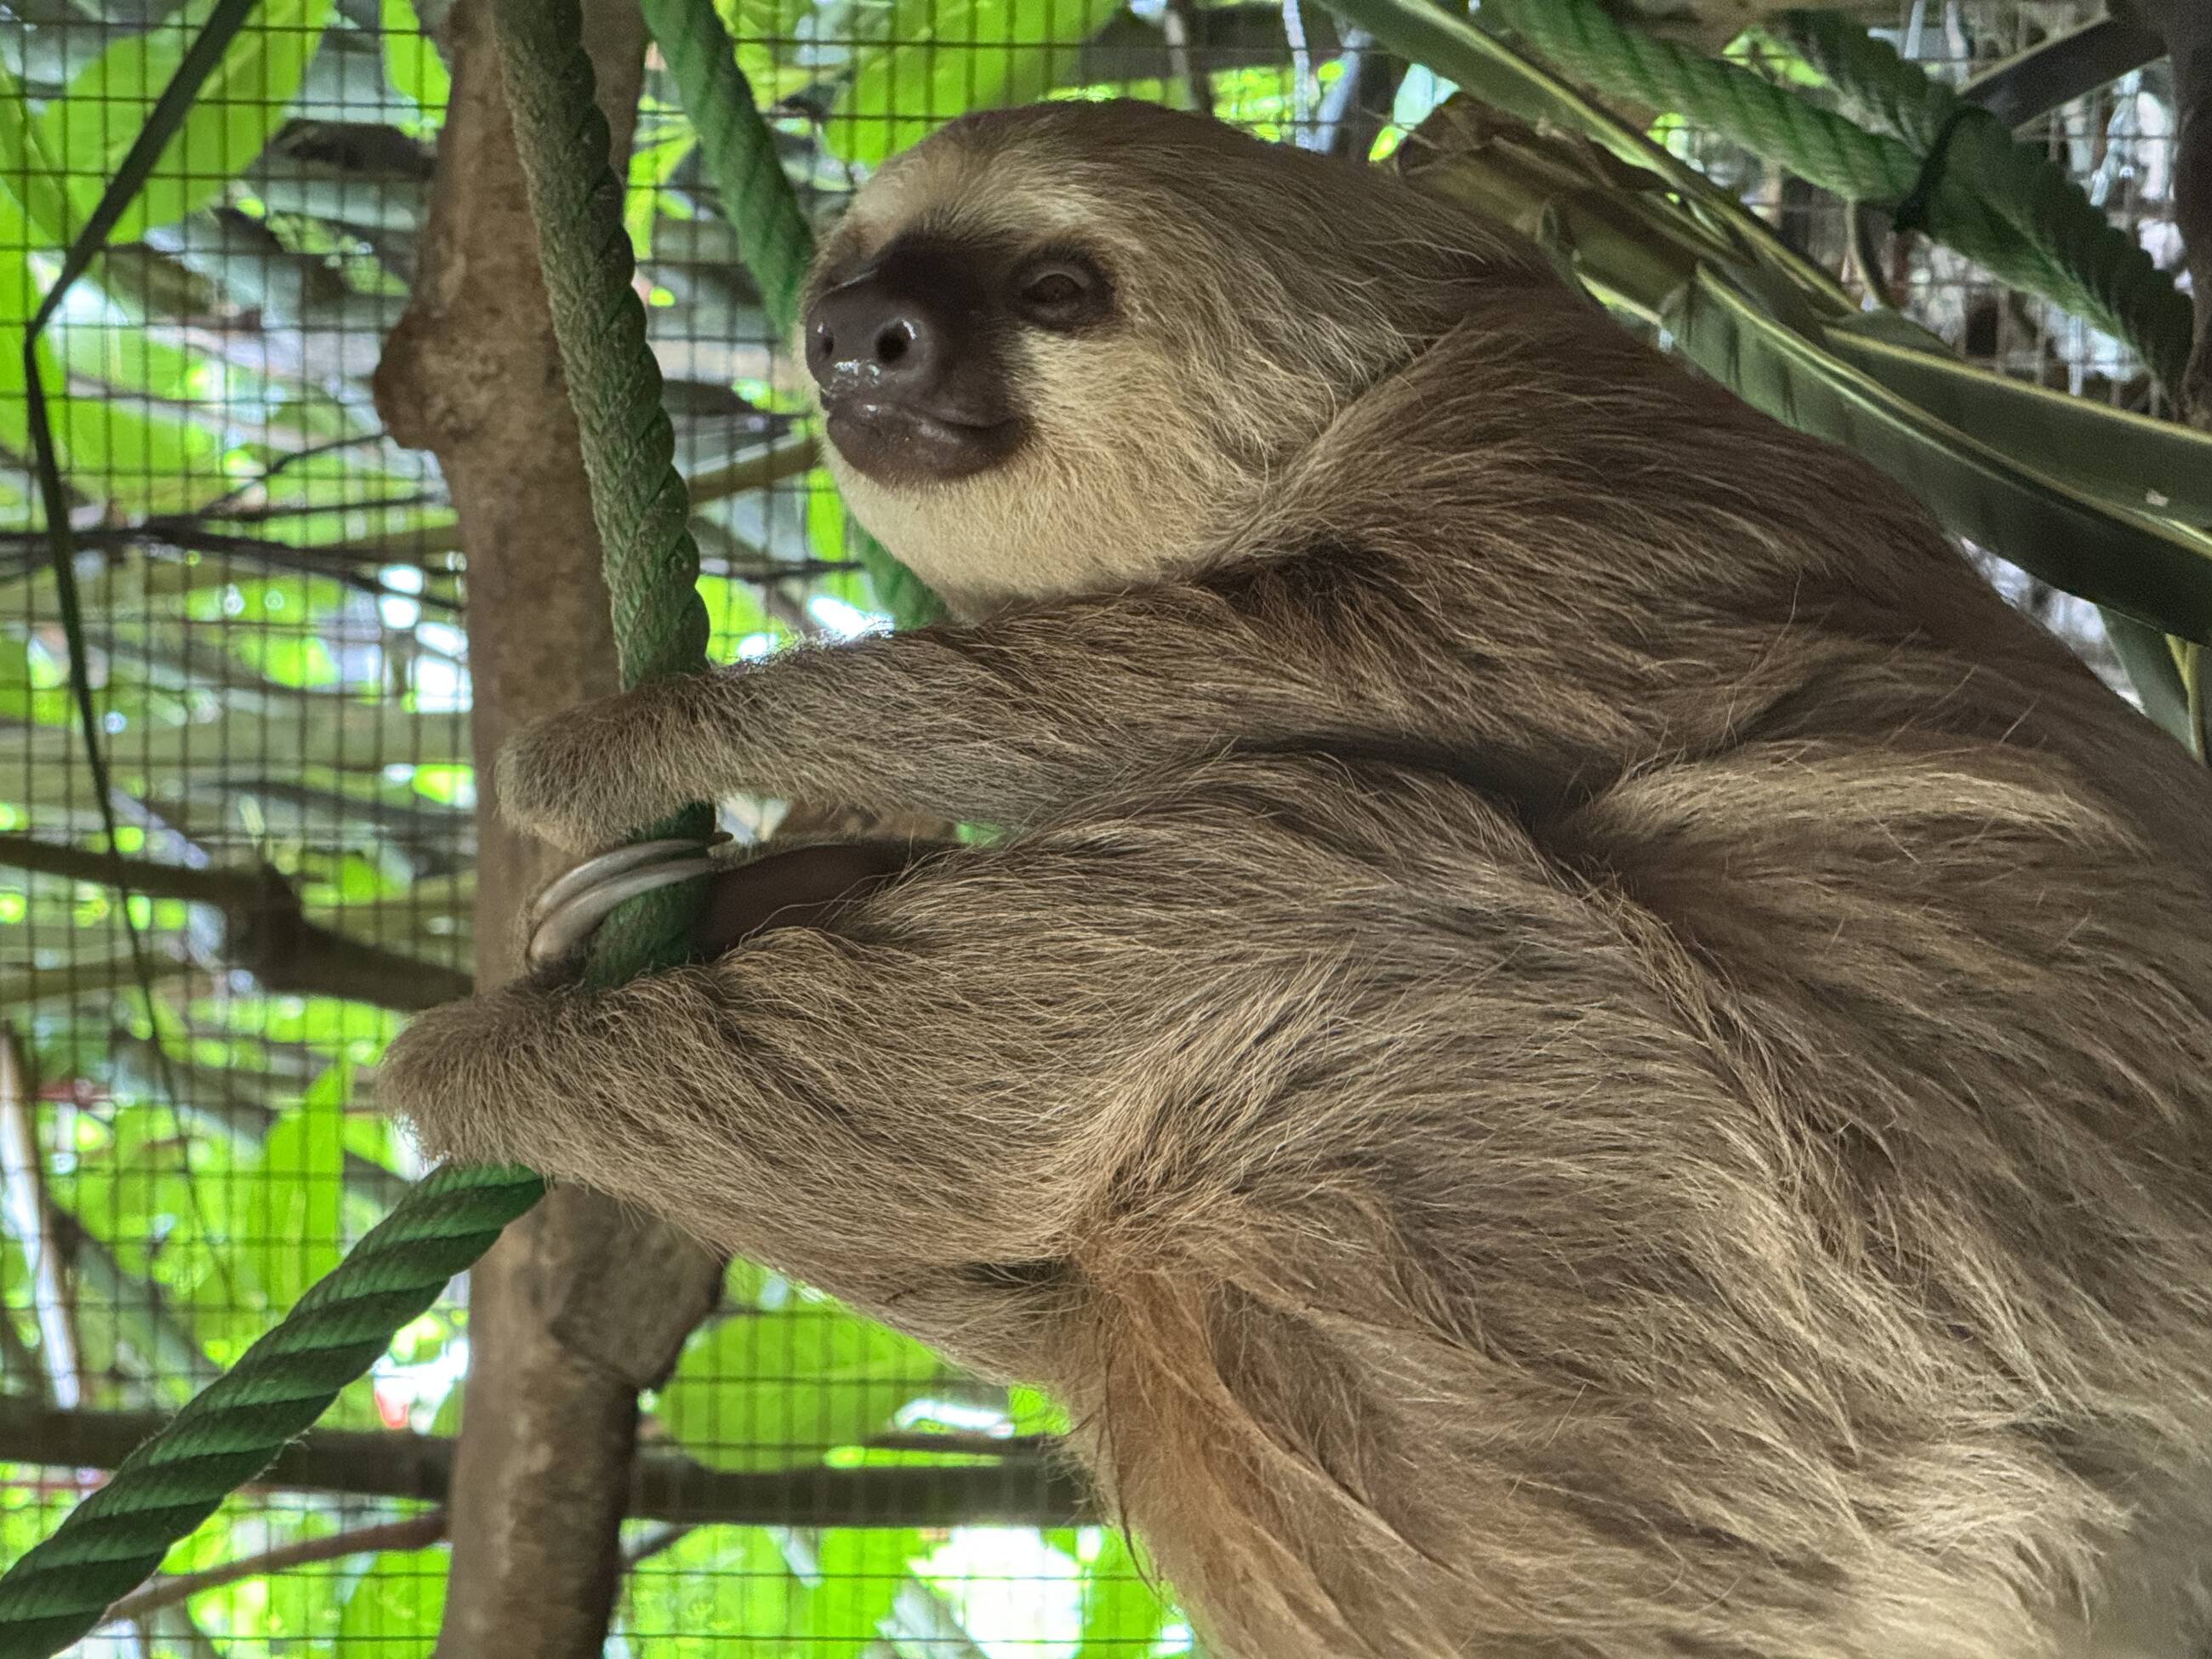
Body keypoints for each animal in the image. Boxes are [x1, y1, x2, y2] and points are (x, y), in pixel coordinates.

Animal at [378, 97, 2212, 1659]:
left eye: (1056, 287)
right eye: (847, 275)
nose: (860, 336)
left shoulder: (1580, 459)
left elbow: (1334, 664)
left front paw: (637, 745)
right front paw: (765, 874)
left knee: (1279, 880)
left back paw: (501, 1059)